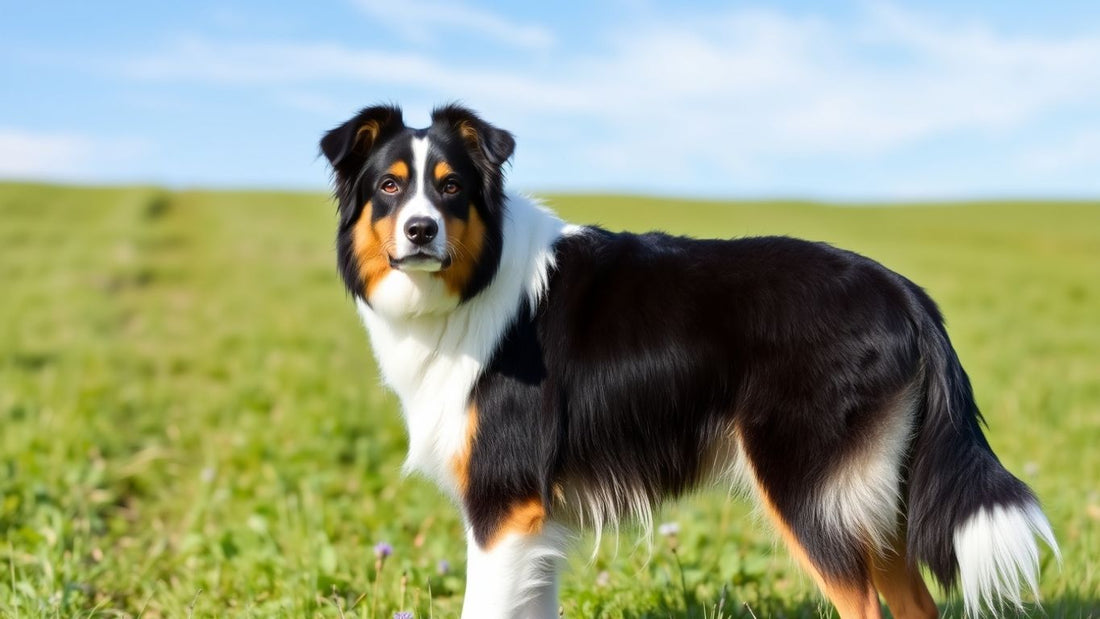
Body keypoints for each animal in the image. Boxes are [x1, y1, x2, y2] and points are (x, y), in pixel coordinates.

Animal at [321, 103, 1056, 615]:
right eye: (389, 187)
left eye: (451, 188)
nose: (421, 231)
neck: (473, 285)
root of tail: (906, 293)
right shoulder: (535, 524)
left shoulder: (504, 506)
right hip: (876, 499)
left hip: (807, 488)